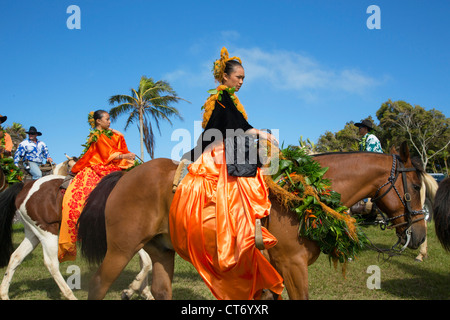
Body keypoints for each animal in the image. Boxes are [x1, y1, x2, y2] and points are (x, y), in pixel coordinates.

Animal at [77, 142, 426, 300]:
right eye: (416, 186)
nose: (421, 235)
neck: (304, 195)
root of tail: (124, 176)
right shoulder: (291, 264)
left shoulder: (272, 266)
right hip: (121, 249)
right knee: (98, 284)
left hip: (162, 249)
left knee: (161, 290)